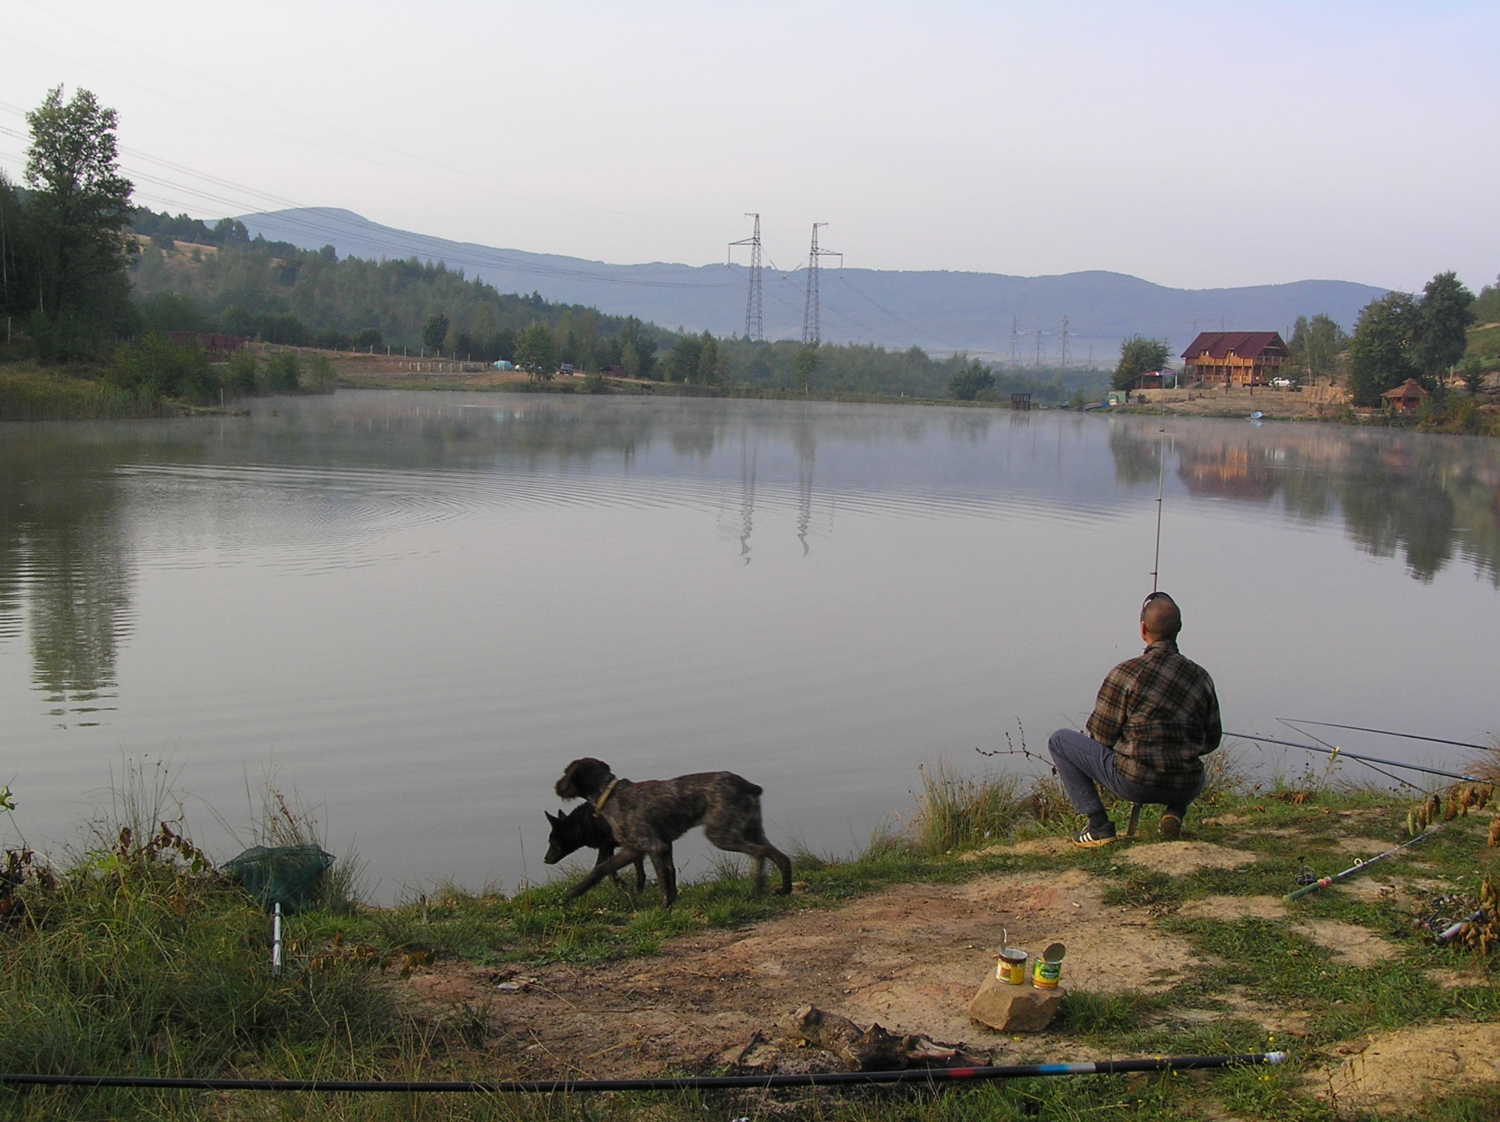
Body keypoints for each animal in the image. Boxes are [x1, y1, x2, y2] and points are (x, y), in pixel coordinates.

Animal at [546, 759, 792, 906]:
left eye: (566, 774)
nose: (556, 786)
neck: (610, 795)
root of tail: (748, 785)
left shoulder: (654, 846)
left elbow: (664, 878)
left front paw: (665, 906)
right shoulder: (635, 849)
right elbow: (601, 870)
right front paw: (574, 892)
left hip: (722, 835)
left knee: (759, 853)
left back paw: (756, 891)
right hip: (752, 830)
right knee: (780, 857)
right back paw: (785, 889)